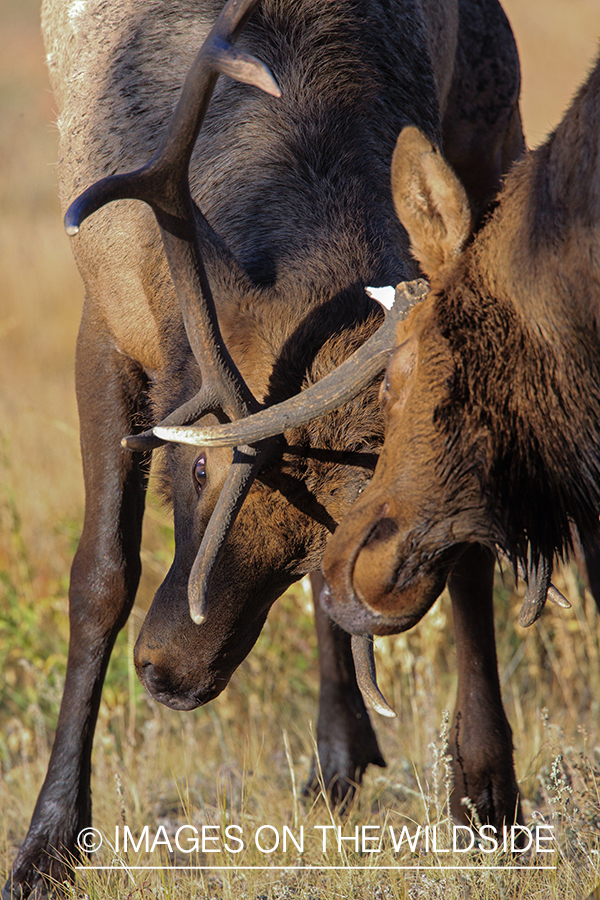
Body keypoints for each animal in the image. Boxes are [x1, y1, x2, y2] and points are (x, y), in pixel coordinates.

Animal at [4, 0, 524, 896]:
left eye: (315, 537)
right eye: (197, 461)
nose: (170, 672)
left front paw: (485, 798)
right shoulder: (105, 318)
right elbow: (102, 575)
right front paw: (47, 846)